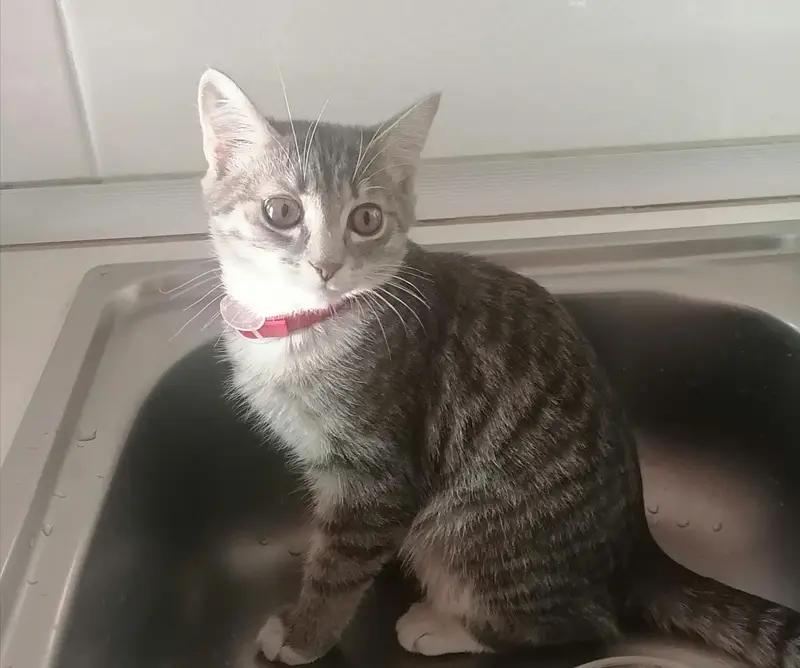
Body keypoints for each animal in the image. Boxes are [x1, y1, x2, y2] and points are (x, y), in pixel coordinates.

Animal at [197, 69, 799, 667]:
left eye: (366, 219)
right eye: (281, 211)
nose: (326, 265)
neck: (305, 328)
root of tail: (637, 550)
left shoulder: (377, 477)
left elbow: (337, 571)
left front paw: (304, 634)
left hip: (469, 530)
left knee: (584, 623)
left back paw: (444, 626)